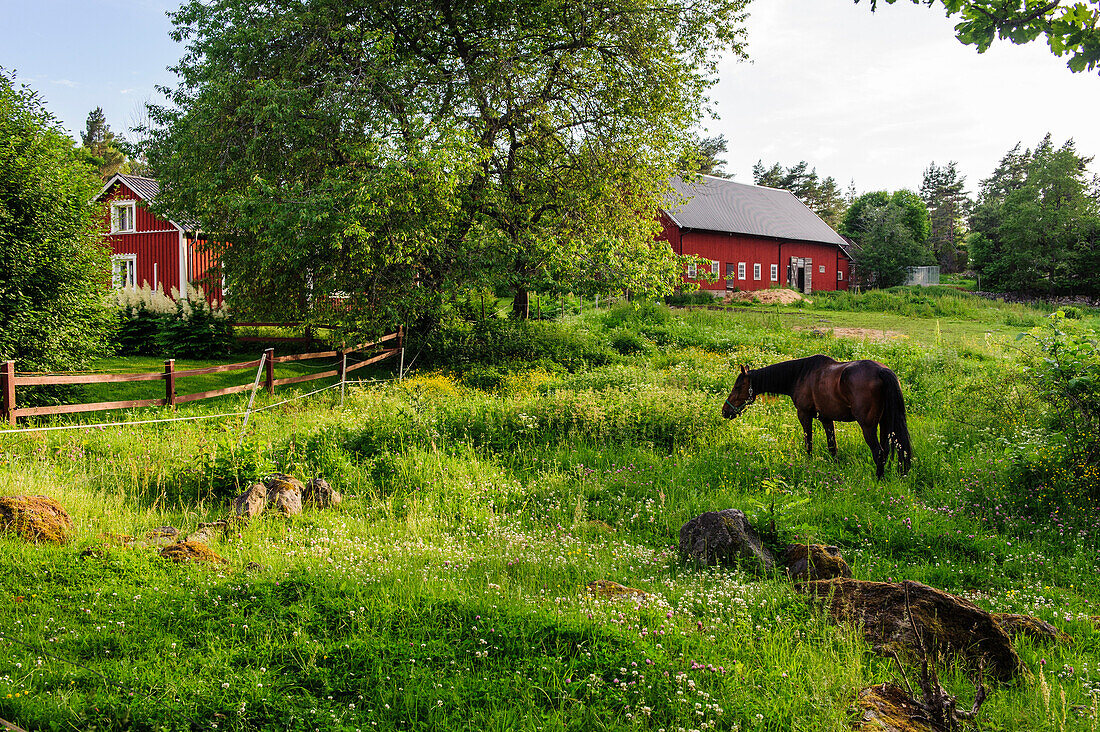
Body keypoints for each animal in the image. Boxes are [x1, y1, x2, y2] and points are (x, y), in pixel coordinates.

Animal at [721, 354, 910, 479]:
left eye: (737, 387)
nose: (725, 411)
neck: (800, 375)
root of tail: (881, 371)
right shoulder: (827, 419)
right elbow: (832, 447)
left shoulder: (804, 415)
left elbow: (808, 442)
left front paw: (808, 463)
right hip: (885, 425)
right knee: (886, 450)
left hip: (868, 427)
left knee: (878, 452)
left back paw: (878, 480)